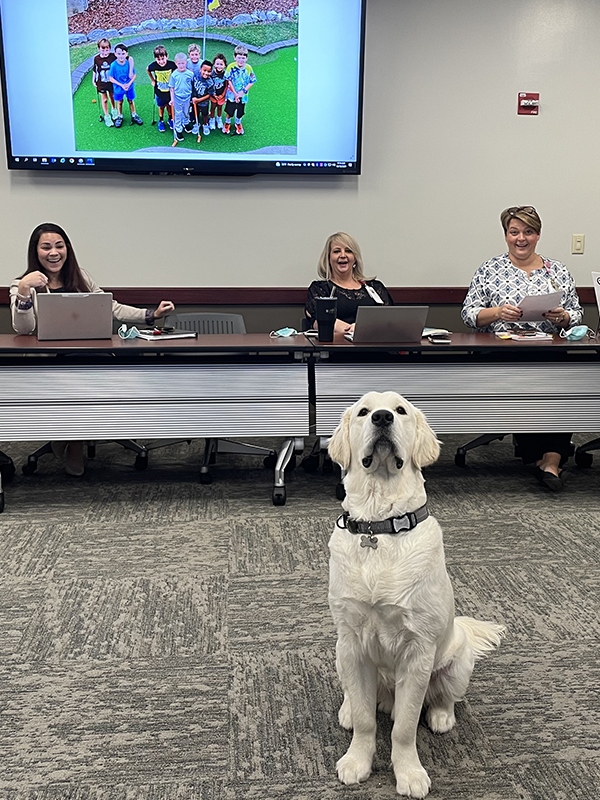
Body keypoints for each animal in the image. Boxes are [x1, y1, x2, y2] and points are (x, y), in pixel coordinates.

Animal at [328, 390, 506, 796]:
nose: (381, 418)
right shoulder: (351, 642)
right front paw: (357, 761)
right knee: (358, 700)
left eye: (401, 410)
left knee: (444, 697)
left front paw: (409, 773)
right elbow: (366, 719)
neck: (379, 526)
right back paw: (347, 710)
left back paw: (441, 717)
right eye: (363, 411)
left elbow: (405, 726)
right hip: (339, 655)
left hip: (458, 662)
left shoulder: (418, 651)